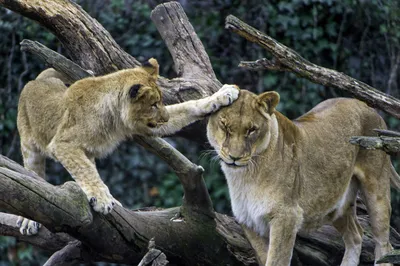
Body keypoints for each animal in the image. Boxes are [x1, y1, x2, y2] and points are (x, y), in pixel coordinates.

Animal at [17, 58, 239, 235]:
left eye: (161, 102)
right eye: (153, 104)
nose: (165, 117)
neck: (114, 117)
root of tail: (37, 80)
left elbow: (188, 106)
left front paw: (224, 94)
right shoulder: (63, 143)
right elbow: (85, 171)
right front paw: (103, 200)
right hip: (29, 147)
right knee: (32, 177)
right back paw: (29, 220)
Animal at [206, 89, 400, 266]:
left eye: (252, 130)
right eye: (224, 126)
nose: (234, 157)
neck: (245, 176)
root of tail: (369, 107)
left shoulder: (286, 217)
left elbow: (276, 260)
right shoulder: (248, 220)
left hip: (376, 190)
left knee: (384, 245)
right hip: (336, 204)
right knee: (356, 235)